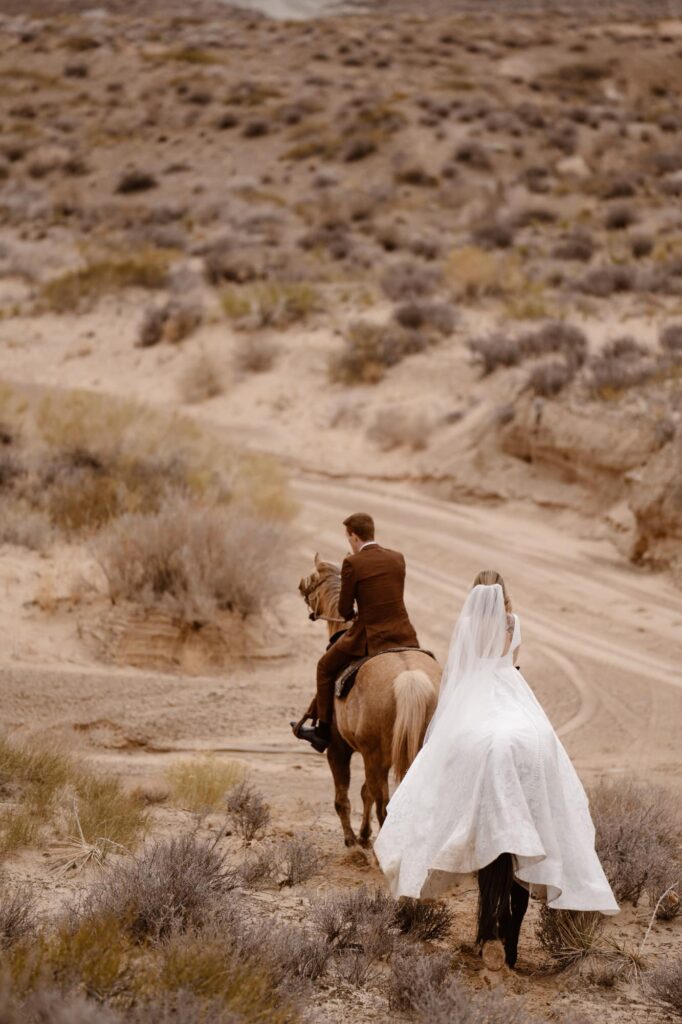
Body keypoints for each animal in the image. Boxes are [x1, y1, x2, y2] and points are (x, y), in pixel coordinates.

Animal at [299, 557, 440, 843]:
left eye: (314, 578)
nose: (300, 587)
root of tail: (409, 678)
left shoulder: (338, 749)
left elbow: (343, 799)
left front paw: (352, 840)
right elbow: (365, 793)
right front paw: (363, 835)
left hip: (376, 759)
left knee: (383, 804)